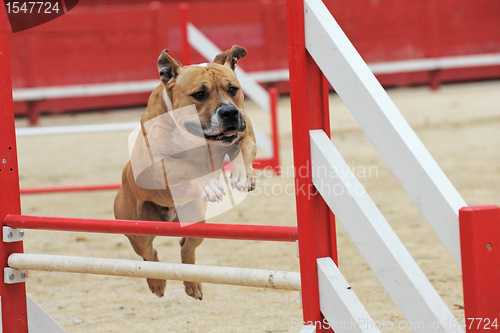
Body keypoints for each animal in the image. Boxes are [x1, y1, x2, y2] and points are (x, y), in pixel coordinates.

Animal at [114, 46, 256, 298]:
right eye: (199, 94)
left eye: (233, 89)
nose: (230, 112)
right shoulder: (156, 163)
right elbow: (184, 166)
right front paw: (207, 184)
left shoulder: (245, 133)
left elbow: (245, 147)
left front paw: (243, 176)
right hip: (137, 227)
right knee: (148, 253)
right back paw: (157, 282)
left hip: (196, 219)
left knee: (186, 248)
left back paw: (192, 284)